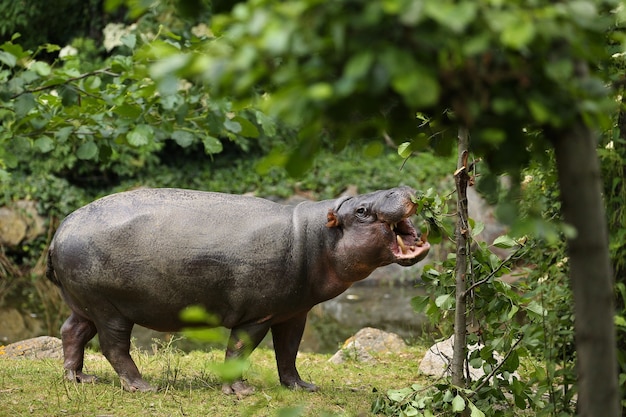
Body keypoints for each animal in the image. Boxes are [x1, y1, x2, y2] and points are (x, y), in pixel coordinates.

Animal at [47, 187, 428, 394]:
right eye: (362, 210)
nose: (404, 188)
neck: (318, 237)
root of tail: (60, 230)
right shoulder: (257, 315)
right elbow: (239, 350)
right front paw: (239, 391)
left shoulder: (293, 313)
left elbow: (288, 353)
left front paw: (302, 387)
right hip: (110, 309)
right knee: (114, 347)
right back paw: (142, 386)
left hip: (84, 304)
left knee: (72, 332)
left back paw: (78, 378)